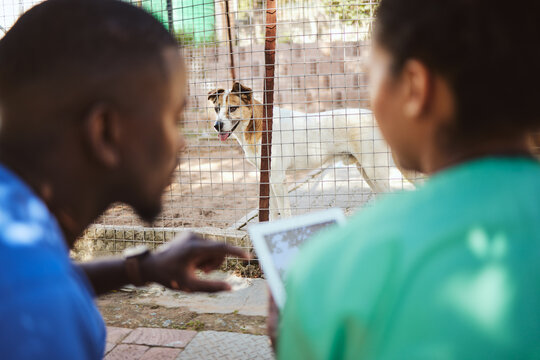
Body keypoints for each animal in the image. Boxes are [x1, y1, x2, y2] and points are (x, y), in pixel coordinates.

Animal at [209, 83, 416, 221]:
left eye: (232, 108)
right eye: (217, 109)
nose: (217, 126)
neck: (257, 126)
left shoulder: (278, 179)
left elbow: (284, 211)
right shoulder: (267, 178)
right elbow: (273, 211)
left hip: (375, 170)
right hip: (366, 171)